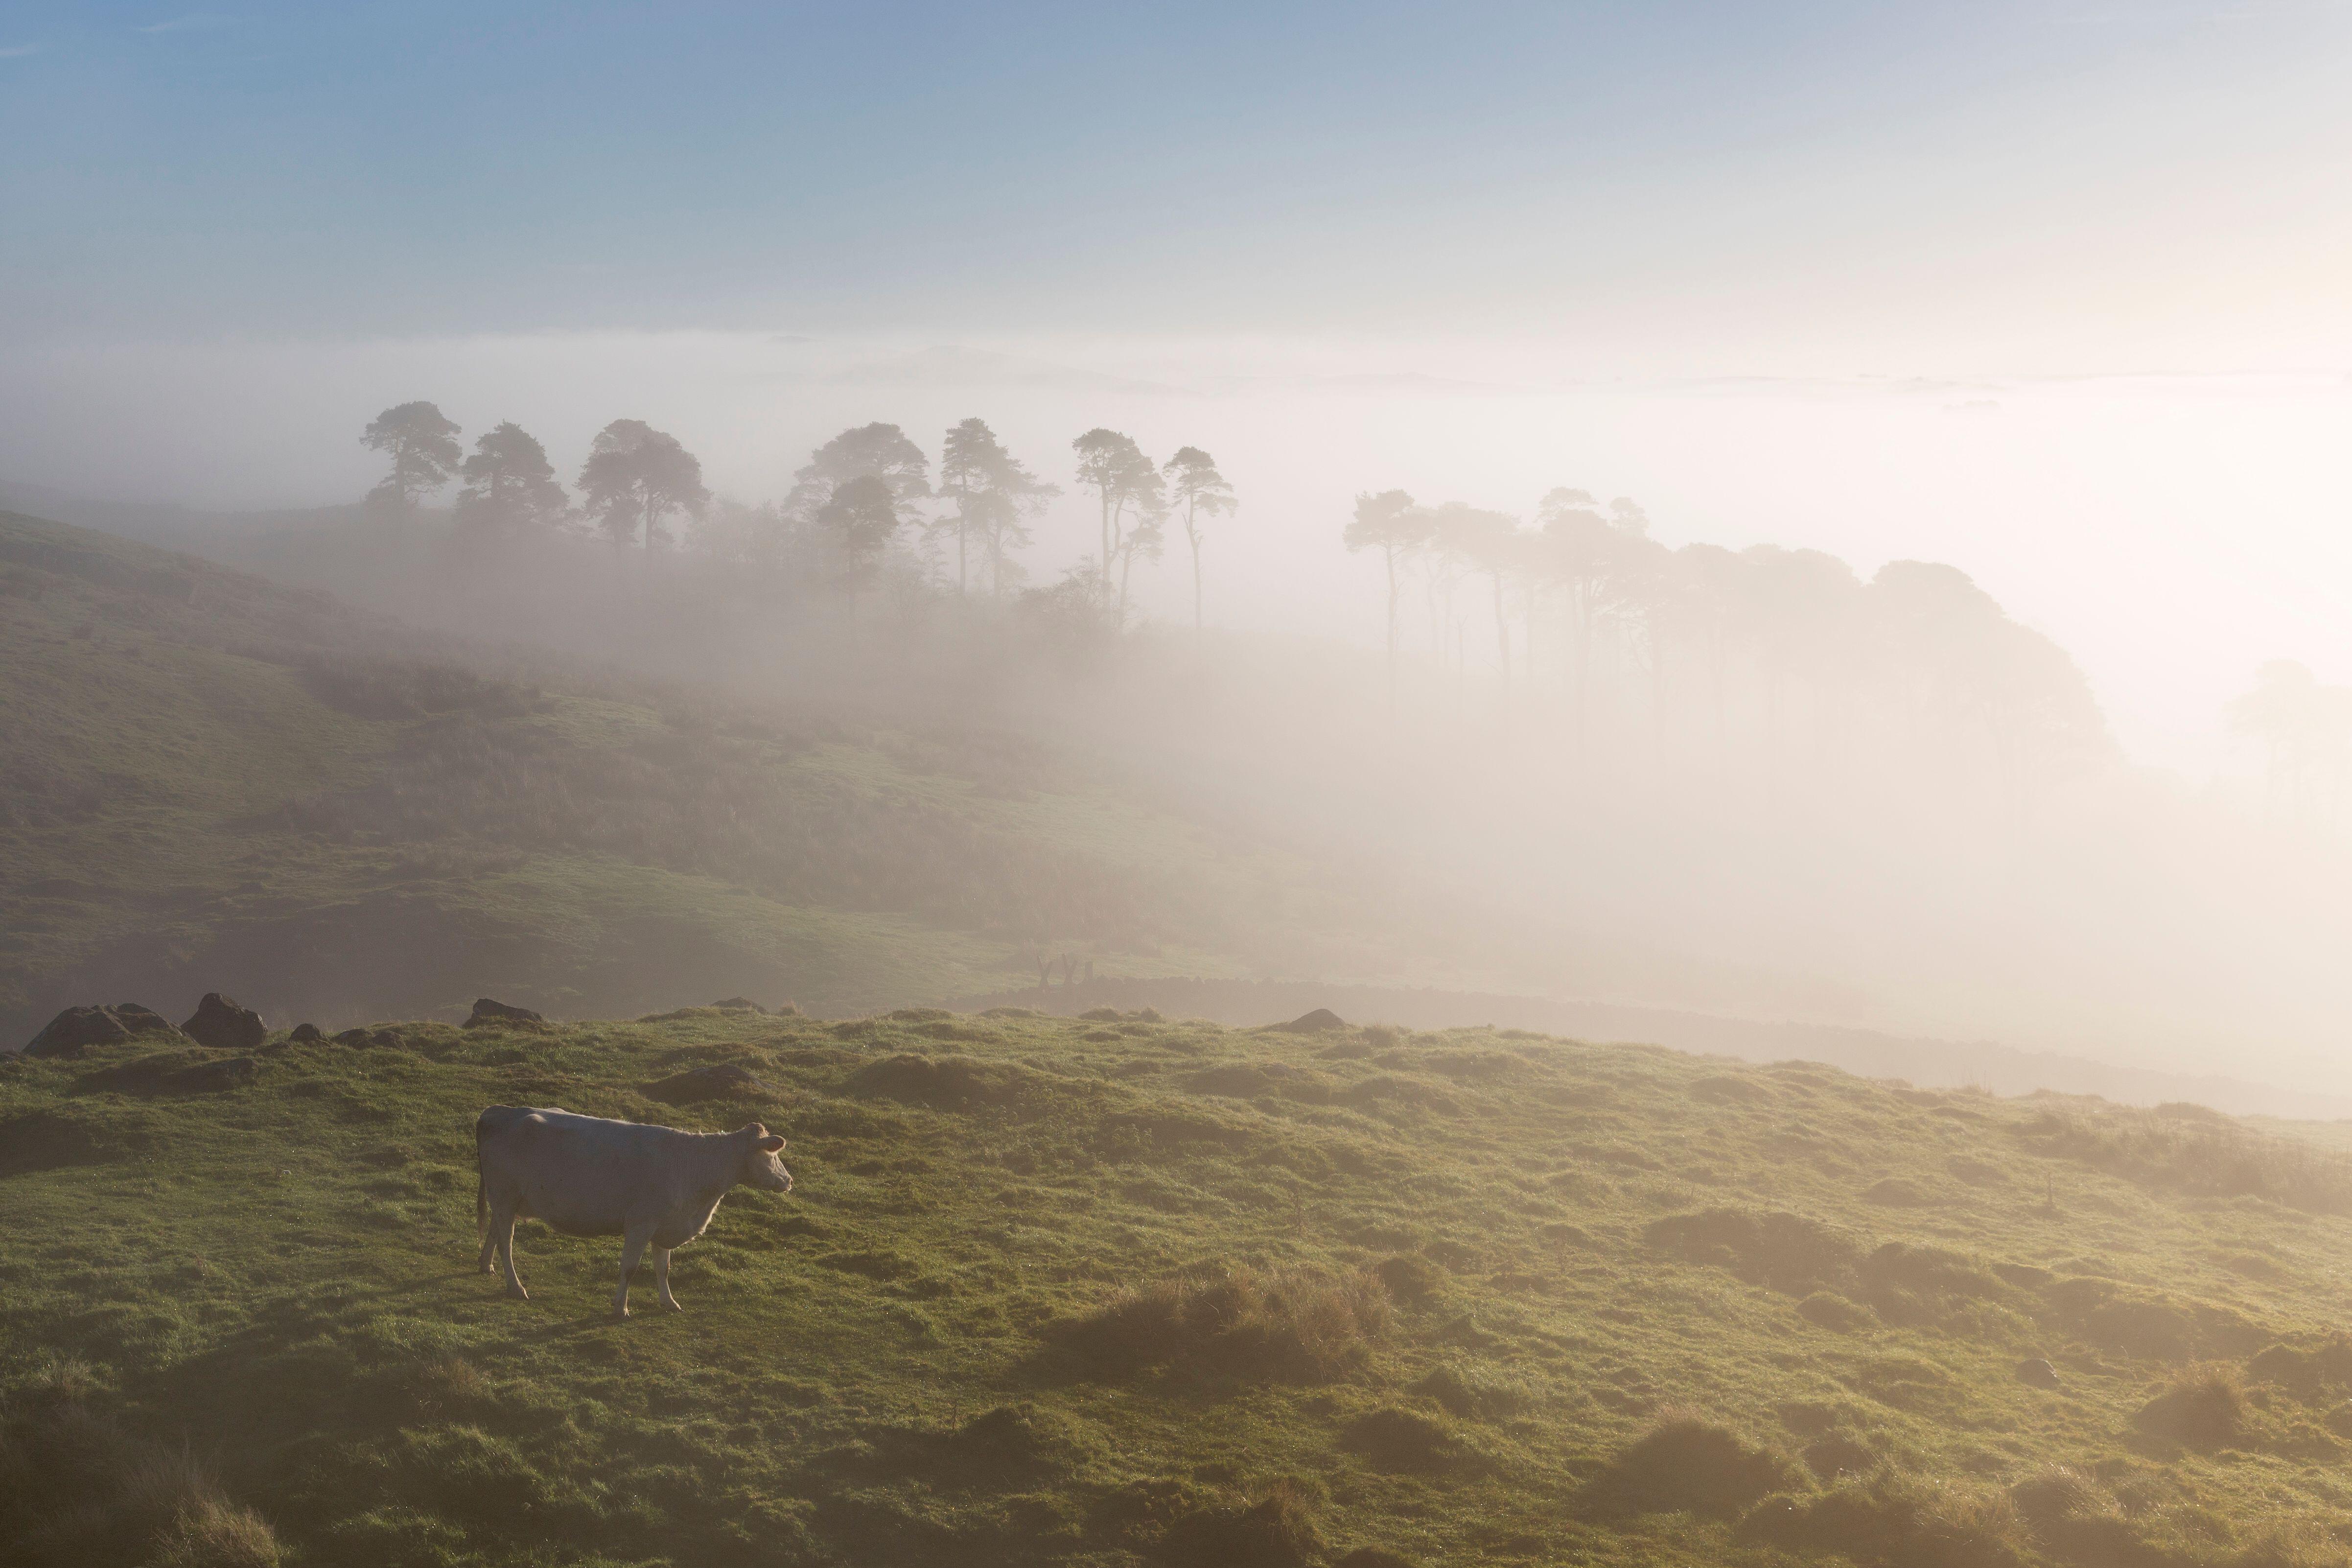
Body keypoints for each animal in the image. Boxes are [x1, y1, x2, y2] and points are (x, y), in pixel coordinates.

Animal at [472, 1109, 795, 1316]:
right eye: (773, 1154)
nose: (789, 1180)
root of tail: (498, 1111)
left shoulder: (665, 1224)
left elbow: (664, 1268)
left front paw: (669, 1303)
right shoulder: (642, 1223)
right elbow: (629, 1268)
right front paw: (621, 1307)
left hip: (507, 1200)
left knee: (495, 1232)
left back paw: (486, 1266)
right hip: (505, 1195)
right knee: (506, 1243)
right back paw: (516, 1287)